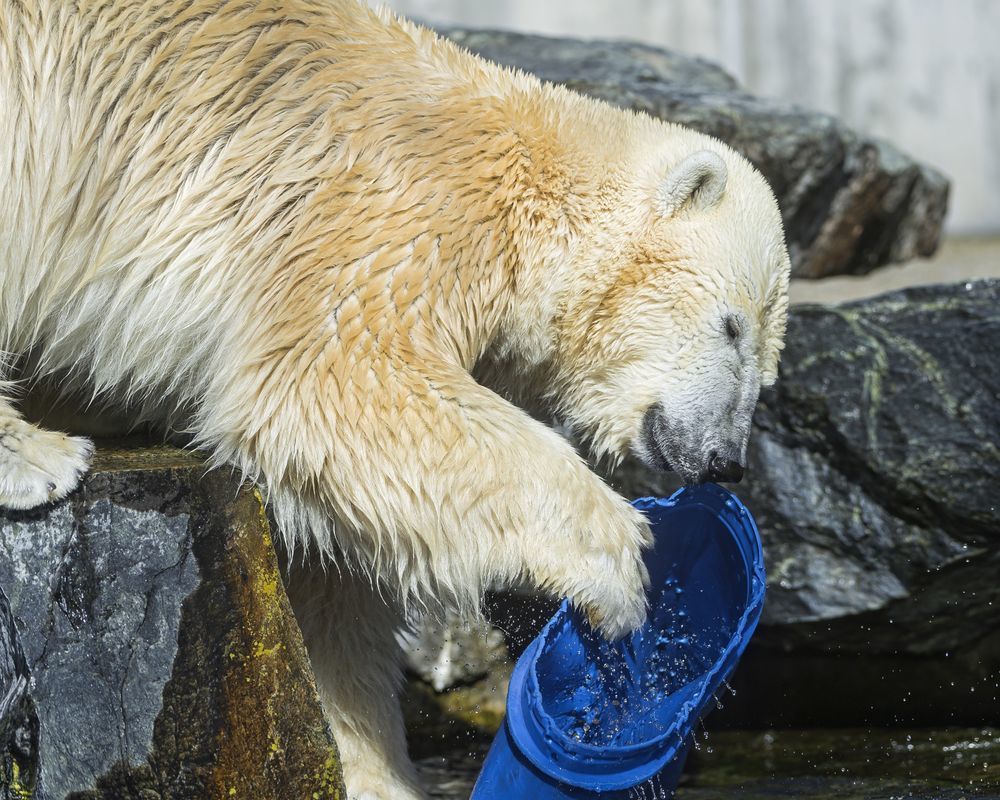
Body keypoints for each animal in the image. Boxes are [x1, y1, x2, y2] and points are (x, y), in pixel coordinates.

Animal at [0, 1, 788, 800]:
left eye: (768, 368)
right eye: (731, 326)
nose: (725, 460)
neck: (537, 183)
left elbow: (330, 560)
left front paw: (372, 767)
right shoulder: (398, 210)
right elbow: (338, 377)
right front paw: (621, 574)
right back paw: (36, 456)